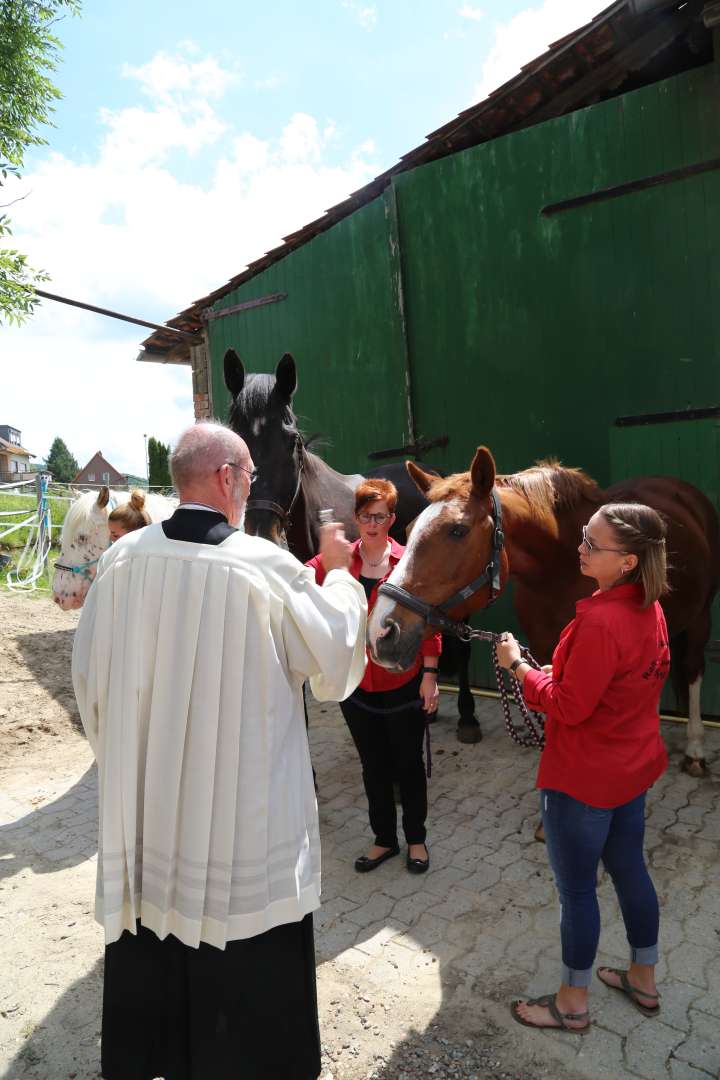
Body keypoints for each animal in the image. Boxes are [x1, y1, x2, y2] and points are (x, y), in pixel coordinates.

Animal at [369, 447, 716, 777]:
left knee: (693, 668)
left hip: (701, 617)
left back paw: (695, 749)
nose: (380, 633)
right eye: (409, 528)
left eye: (458, 530)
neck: (561, 569)